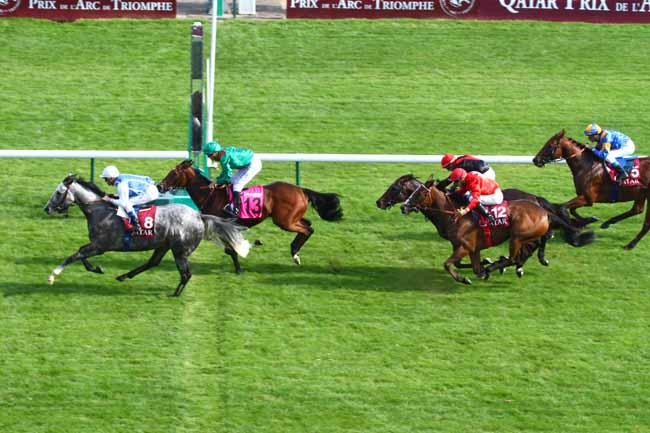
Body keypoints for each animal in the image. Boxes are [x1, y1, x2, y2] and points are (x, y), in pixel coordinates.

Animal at [43, 174, 251, 296]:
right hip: (164, 245)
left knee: (186, 273)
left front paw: (53, 275)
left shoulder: (100, 245)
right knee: (153, 262)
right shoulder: (96, 245)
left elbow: (75, 255)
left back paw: (175, 294)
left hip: (180, 250)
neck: (99, 210)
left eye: (59, 192)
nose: (47, 209)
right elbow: (81, 255)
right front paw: (97, 268)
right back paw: (124, 276)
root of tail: (198, 215)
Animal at [158, 160, 344, 272]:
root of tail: (301, 190)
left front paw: (239, 267)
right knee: (308, 224)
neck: (210, 195)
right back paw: (295, 253)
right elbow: (229, 249)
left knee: (307, 229)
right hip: (291, 218)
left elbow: (229, 249)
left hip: (284, 221)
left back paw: (294, 253)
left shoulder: (224, 227)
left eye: (174, 173)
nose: (159, 186)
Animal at [398, 176, 580, 282]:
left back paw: (498, 267)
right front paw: (484, 265)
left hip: (517, 237)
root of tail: (544, 211)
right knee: (540, 240)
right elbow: (468, 265)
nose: (403, 207)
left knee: (514, 257)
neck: (454, 214)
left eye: (420, 193)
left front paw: (465, 278)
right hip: (527, 235)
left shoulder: (466, 246)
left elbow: (448, 264)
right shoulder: (470, 247)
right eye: (411, 191)